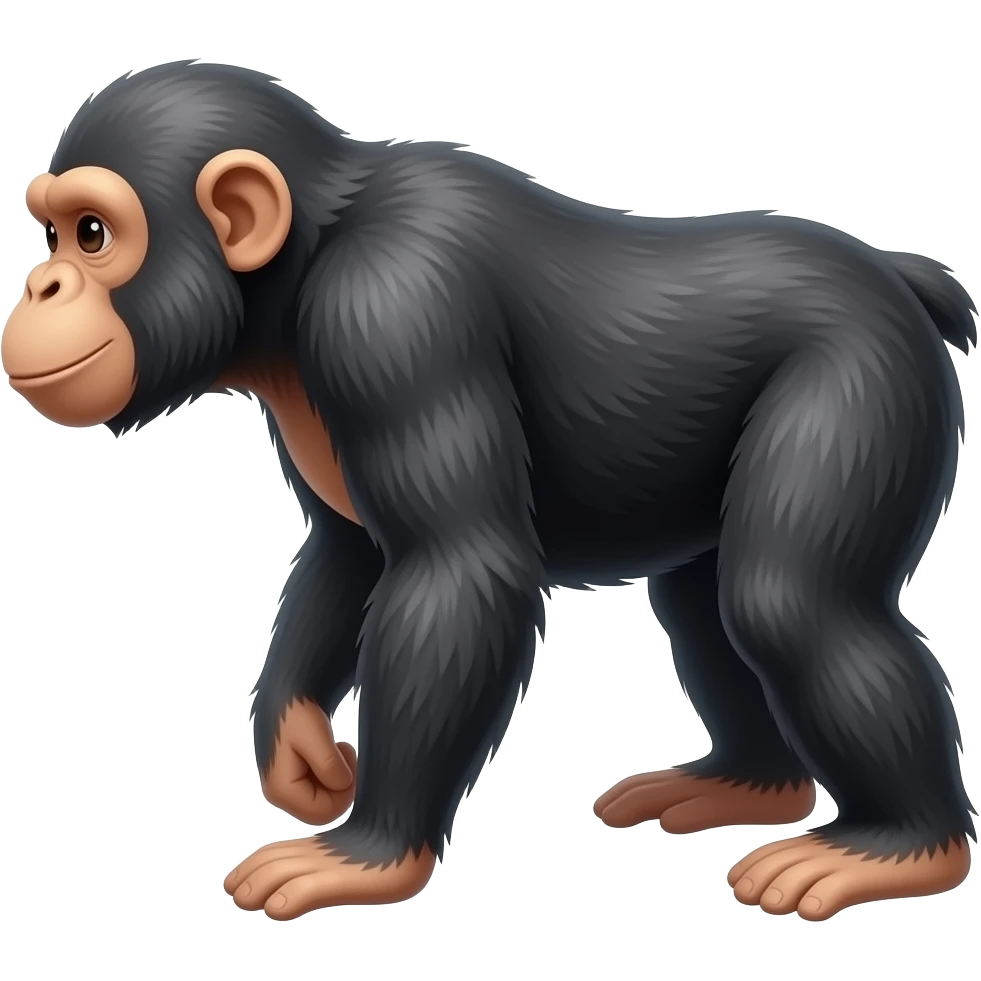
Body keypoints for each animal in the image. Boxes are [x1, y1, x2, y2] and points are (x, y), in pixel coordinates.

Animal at [1, 60, 976, 921]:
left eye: (92, 234)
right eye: (50, 233)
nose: (43, 285)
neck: (301, 264)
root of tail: (896, 274)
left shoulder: (394, 312)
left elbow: (458, 566)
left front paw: (367, 854)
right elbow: (348, 555)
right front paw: (296, 748)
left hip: (863, 381)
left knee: (786, 601)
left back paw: (898, 846)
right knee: (704, 601)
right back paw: (745, 783)